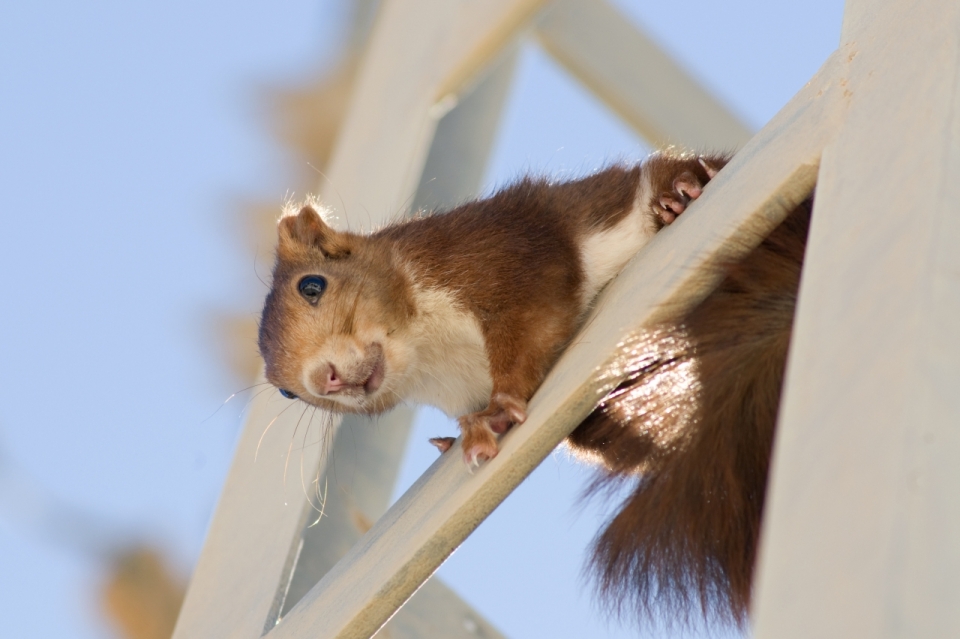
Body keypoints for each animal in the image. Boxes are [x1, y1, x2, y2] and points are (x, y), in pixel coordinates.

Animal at [256, 151, 808, 632]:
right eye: (284, 394)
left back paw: (679, 191)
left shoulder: (497, 252)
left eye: (312, 285)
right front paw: (457, 436)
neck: (429, 356)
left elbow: (530, 323)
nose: (323, 378)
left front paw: (497, 411)